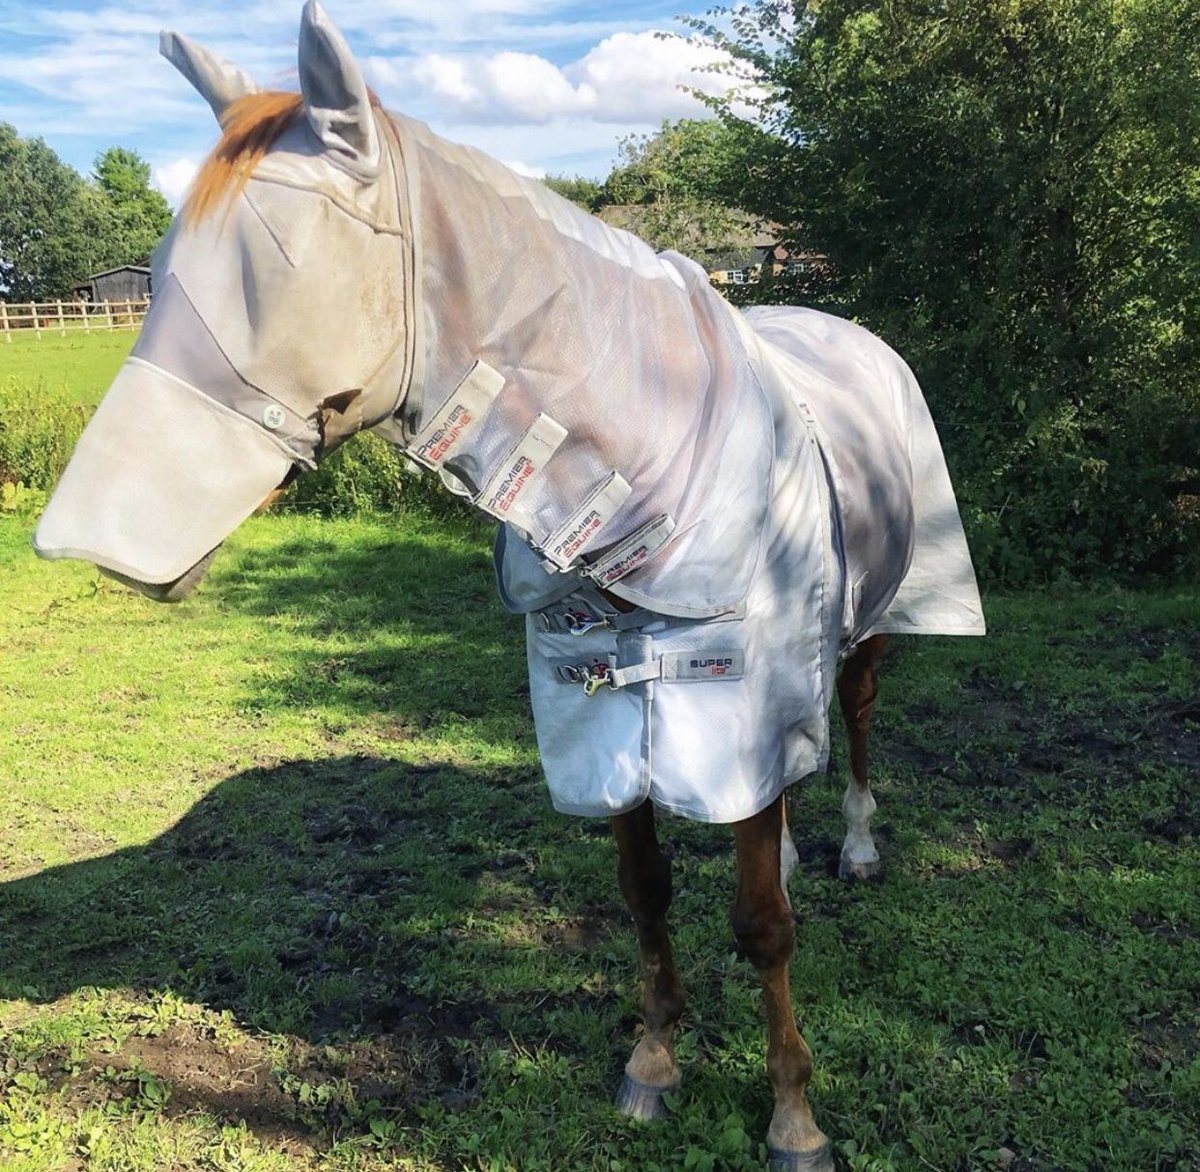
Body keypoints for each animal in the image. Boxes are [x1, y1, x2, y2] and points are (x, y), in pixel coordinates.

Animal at [34, 5, 985, 1168]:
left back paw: (851, 844)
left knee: (852, 718)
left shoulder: (730, 706)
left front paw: (794, 1115)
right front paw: (652, 1063)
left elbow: (761, 926)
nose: (84, 540)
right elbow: (646, 891)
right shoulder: (606, 721)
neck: (649, 486)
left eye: (274, 263)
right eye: (161, 268)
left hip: (873, 626)